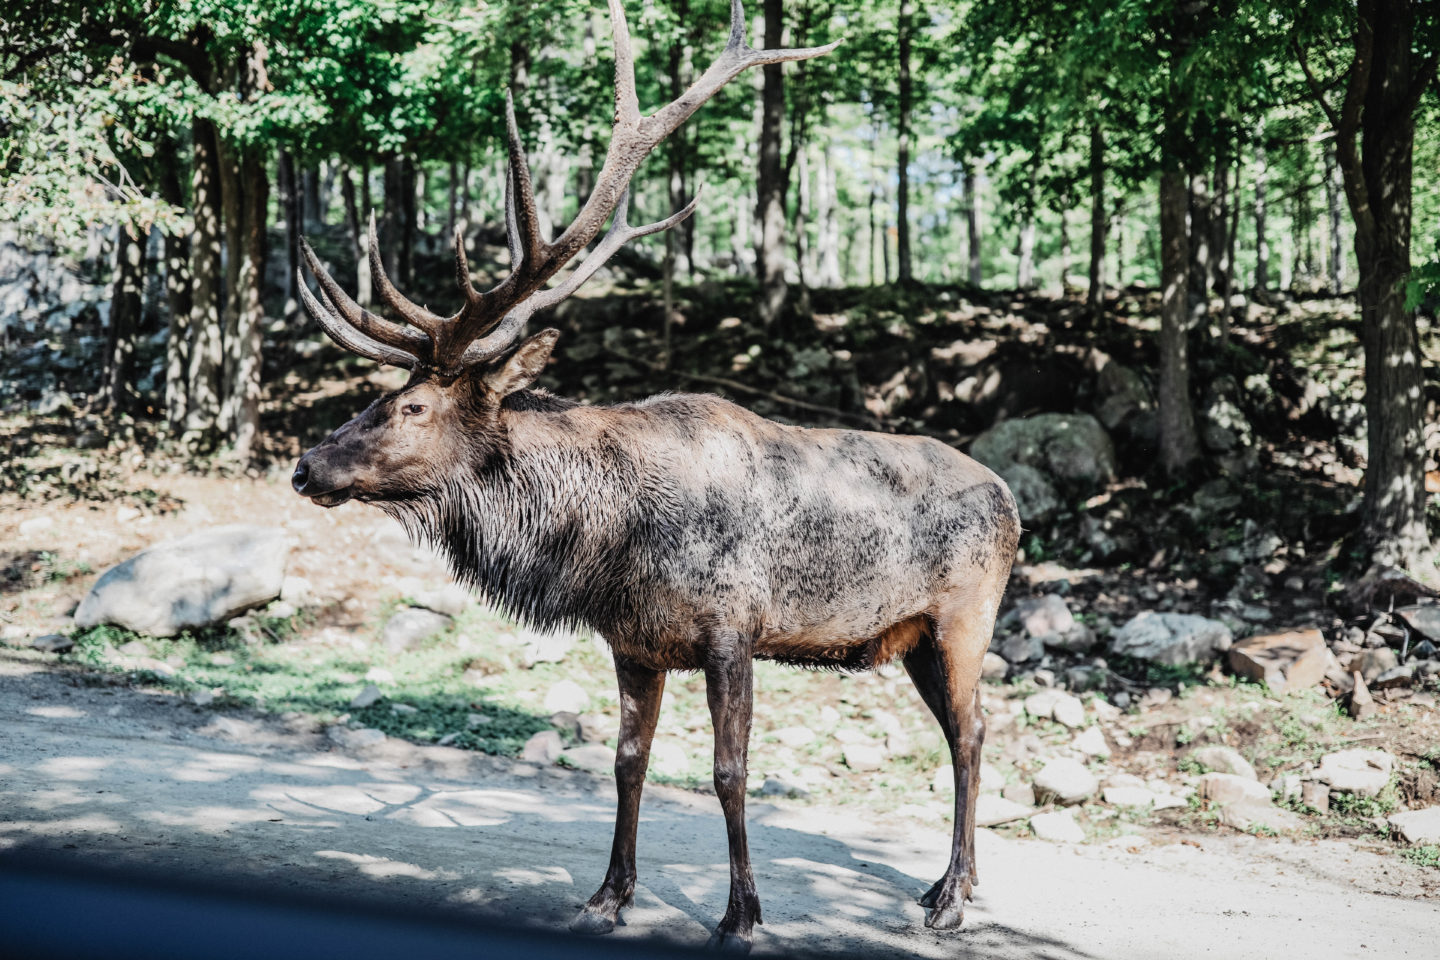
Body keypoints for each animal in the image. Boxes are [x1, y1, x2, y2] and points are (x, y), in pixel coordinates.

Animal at [289, 0, 1013, 949]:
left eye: (411, 407)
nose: (306, 465)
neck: (608, 539)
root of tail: (1014, 500)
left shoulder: (732, 629)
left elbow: (728, 770)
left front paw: (740, 915)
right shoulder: (633, 641)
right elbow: (627, 761)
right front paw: (608, 894)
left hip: (966, 617)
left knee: (973, 733)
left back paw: (956, 897)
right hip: (917, 637)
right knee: (963, 732)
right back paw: (942, 886)